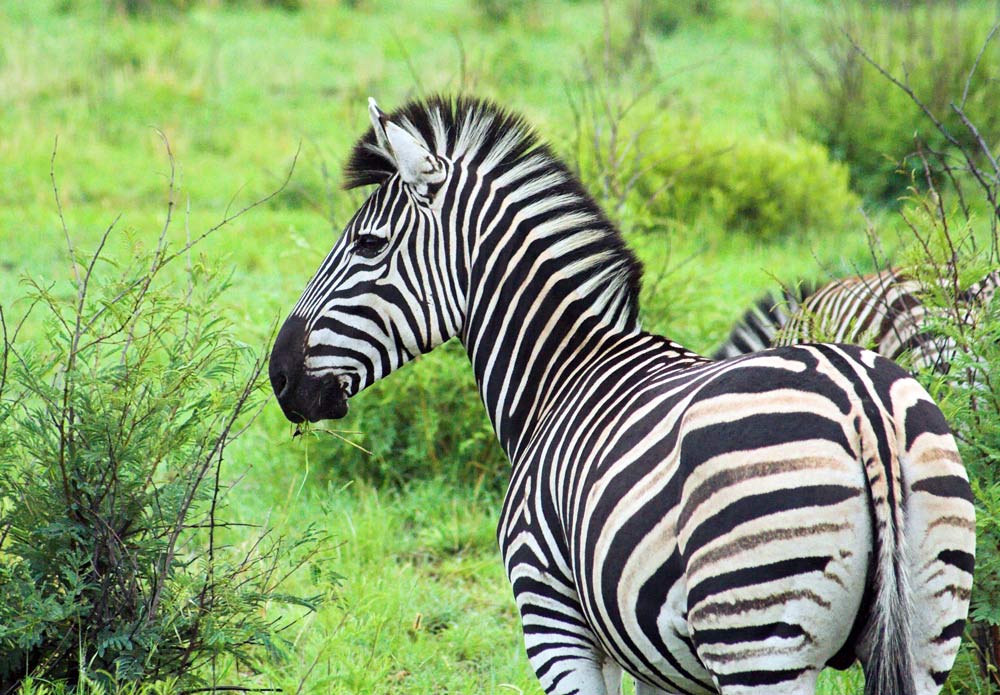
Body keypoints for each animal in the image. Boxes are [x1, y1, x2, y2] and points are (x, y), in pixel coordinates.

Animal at [268, 98, 976, 695]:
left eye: (368, 245)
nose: (278, 375)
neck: (562, 375)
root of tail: (863, 405)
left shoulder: (554, 620)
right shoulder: (658, 663)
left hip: (758, 635)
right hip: (928, 630)